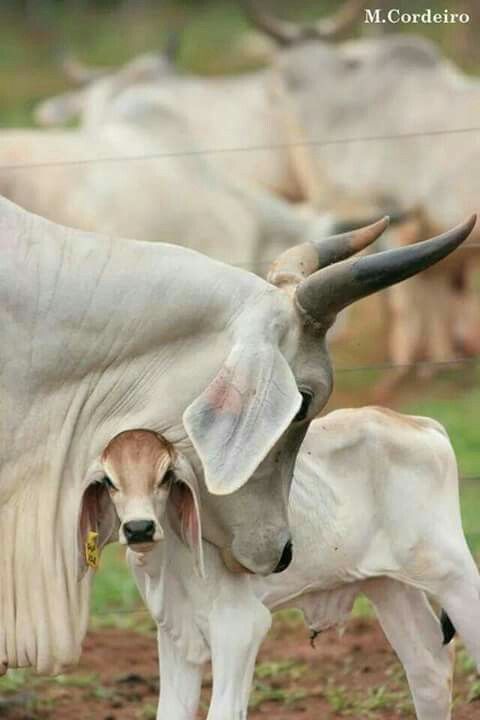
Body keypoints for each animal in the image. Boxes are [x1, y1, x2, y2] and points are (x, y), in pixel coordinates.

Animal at [128, 404, 480, 720]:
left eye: (164, 477)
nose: (138, 529)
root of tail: (418, 423)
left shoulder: (240, 624)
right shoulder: (176, 631)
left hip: (453, 573)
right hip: (389, 585)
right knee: (429, 665)